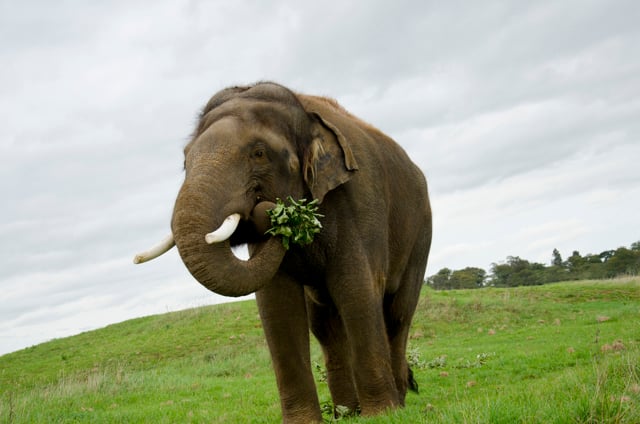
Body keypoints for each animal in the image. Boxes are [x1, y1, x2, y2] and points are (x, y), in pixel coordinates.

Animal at [136, 81, 436, 422]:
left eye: (259, 153)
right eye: (186, 162)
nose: (268, 211)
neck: (304, 113)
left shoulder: (359, 200)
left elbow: (356, 289)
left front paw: (382, 415)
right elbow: (276, 304)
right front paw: (306, 421)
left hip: (421, 234)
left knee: (397, 314)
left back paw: (394, 402)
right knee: (325, 325)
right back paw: (346, 413)